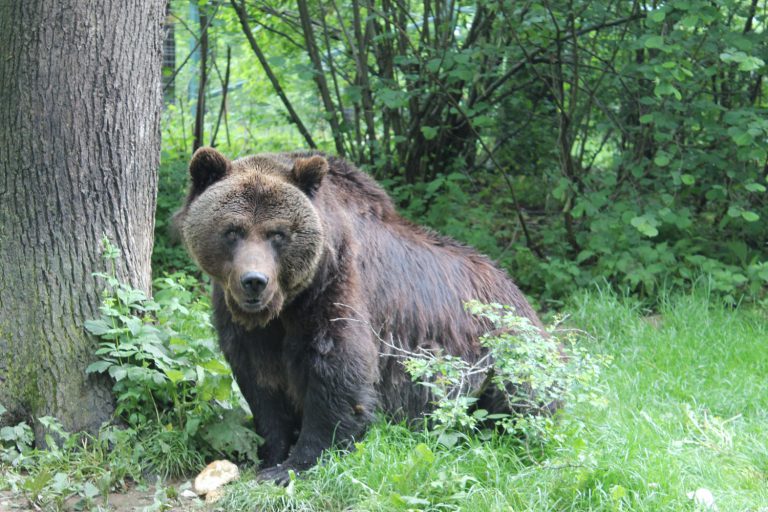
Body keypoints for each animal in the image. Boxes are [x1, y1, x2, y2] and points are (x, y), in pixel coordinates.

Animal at [176, 147, 544, 484]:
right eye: (233, 230)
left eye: (277, 233)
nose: (254, 281)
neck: (286, 305)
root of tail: (517, 290)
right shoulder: (245, 322)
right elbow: (260, 381)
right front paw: (270, 454)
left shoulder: (336, 289)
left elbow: (338, 370)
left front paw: (297, 463)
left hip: (502, 347)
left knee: (522, 399)